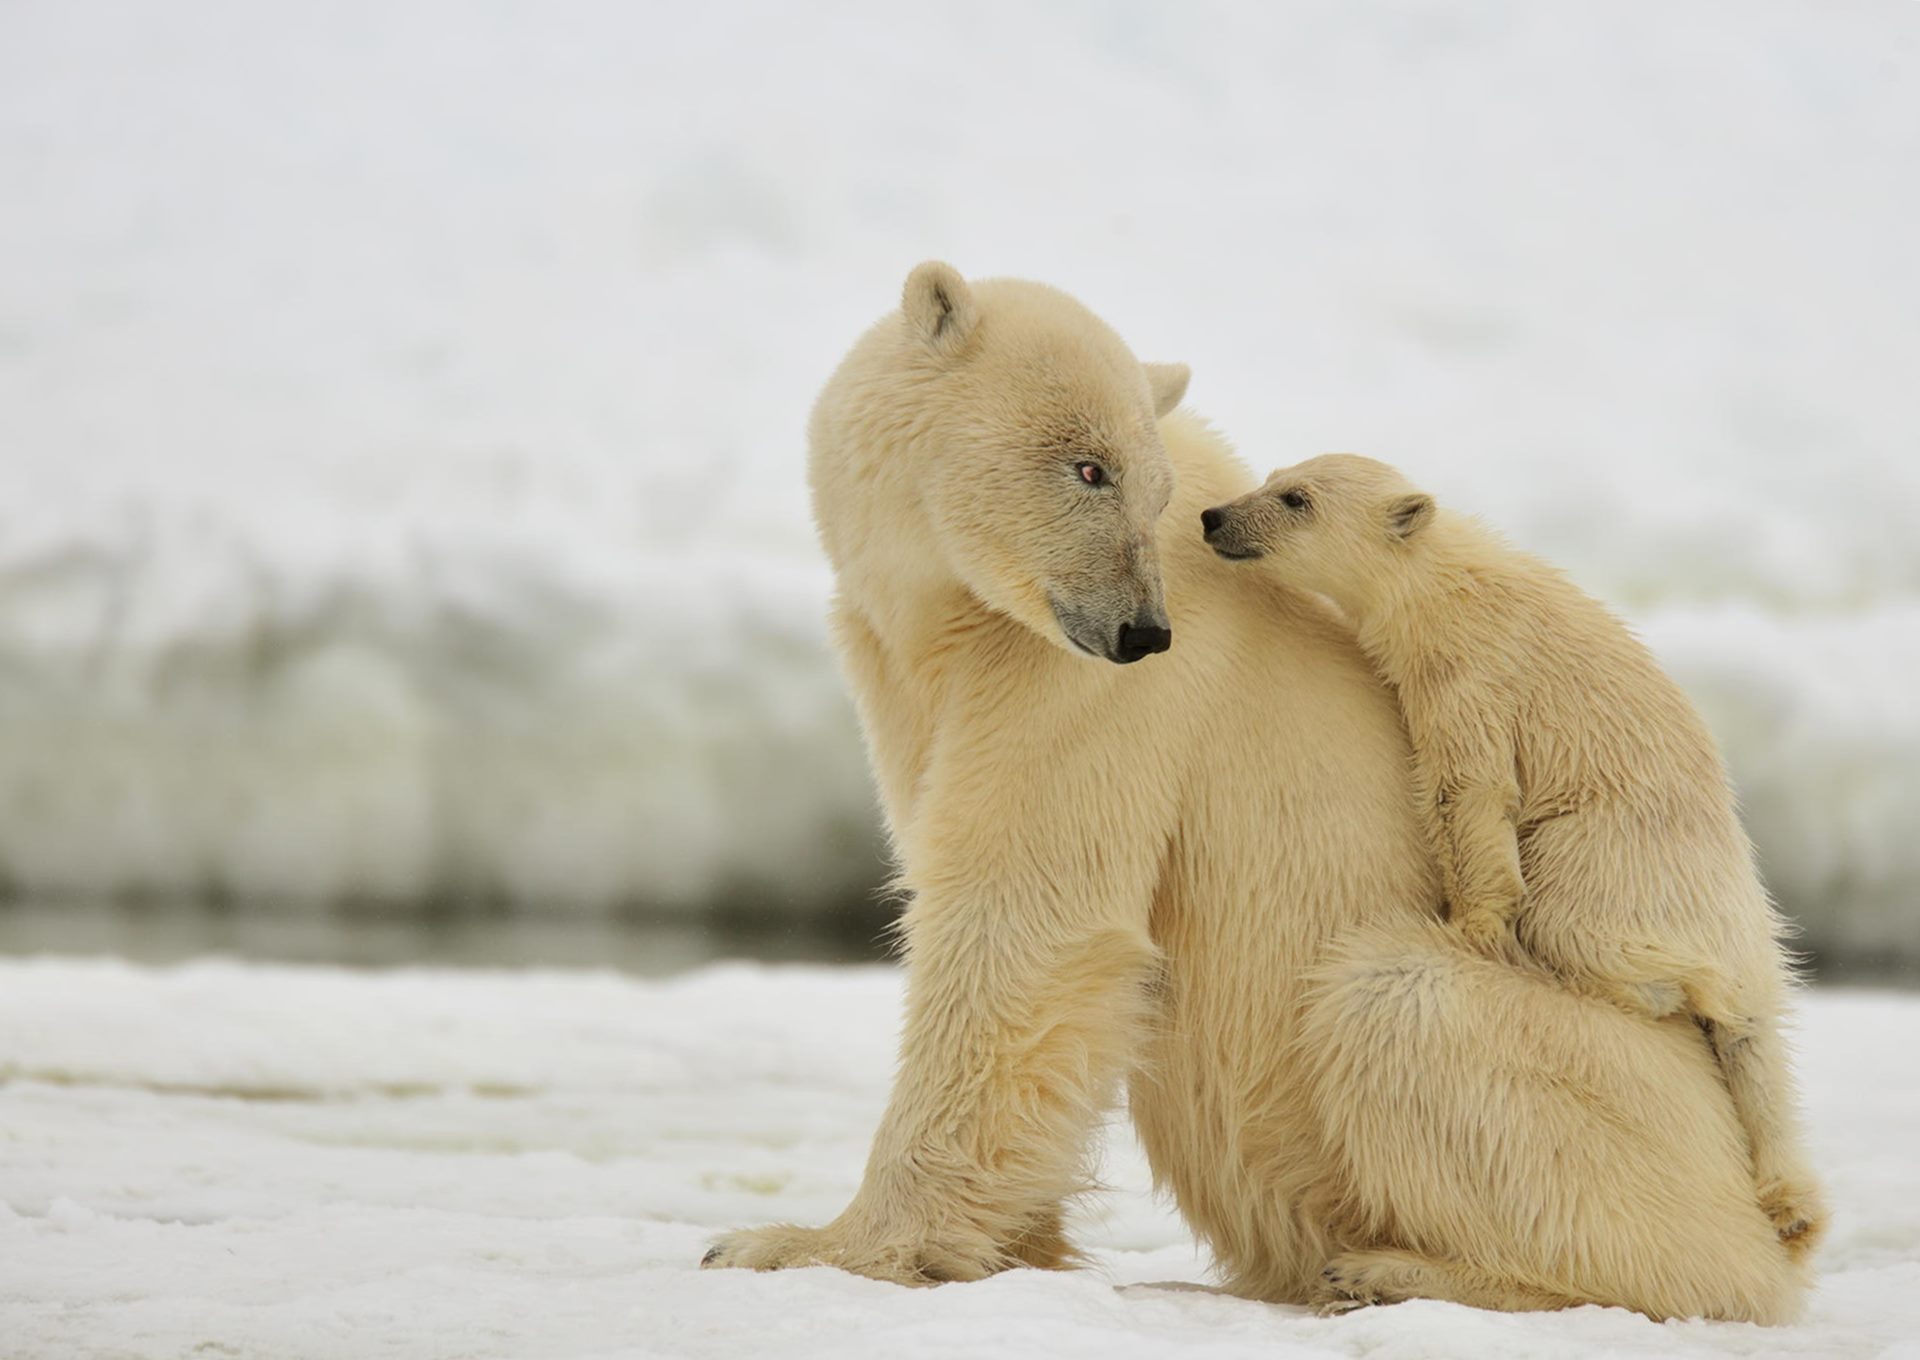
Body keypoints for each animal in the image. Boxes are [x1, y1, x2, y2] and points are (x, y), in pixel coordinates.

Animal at [702, 263, 1797, 1313]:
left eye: (1146, 488)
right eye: (1090, 467)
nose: (1141, 630)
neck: (952, 617)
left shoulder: (1082, 688)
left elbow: (1027, 920)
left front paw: (797, 1243)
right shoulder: (906, 673)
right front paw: (1013, 1242)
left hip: (1595, 1071)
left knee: (1398, 1002)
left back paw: (1401, 1269)